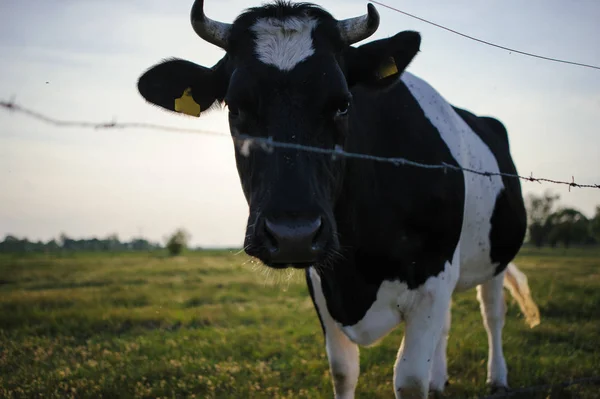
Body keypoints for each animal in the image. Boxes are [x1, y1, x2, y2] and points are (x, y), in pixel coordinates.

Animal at [138, 1, 540, 398]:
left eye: (343, 103)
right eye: (235, 106)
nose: (294, 235)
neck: (359, 271)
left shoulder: (433, 271)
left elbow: (409, 380)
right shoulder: (322, 280)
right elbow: (343, 371)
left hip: (496, 257)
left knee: (492, 314)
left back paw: (497, 378)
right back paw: (440, 380)